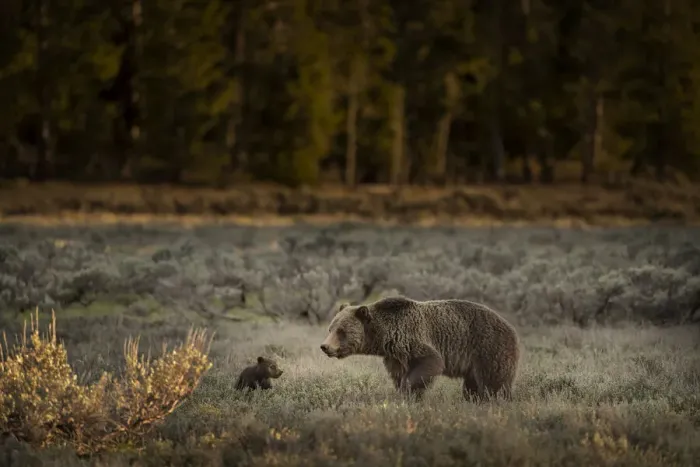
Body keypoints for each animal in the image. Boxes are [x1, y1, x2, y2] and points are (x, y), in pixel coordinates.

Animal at [320, 296, 520, 401]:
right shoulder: (394, 356)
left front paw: (407, 392)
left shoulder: (411, 338)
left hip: (489, 348)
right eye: (330, 328)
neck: (384, 336)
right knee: (472, 385)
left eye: (341, 331)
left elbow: (431, 362)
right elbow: (398, 375)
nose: (325, 346)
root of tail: (511, 327)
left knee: (493, 382)